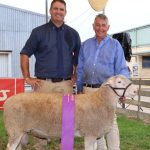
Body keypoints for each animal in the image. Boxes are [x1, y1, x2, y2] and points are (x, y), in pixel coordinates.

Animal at [2, 75, 138, 150]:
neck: (100, 101)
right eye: (119, 82)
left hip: (19, 131)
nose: (136, 90)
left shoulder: (94, 135)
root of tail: (7, 101)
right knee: (10, 147)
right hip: (15, 129)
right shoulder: (90, 134)